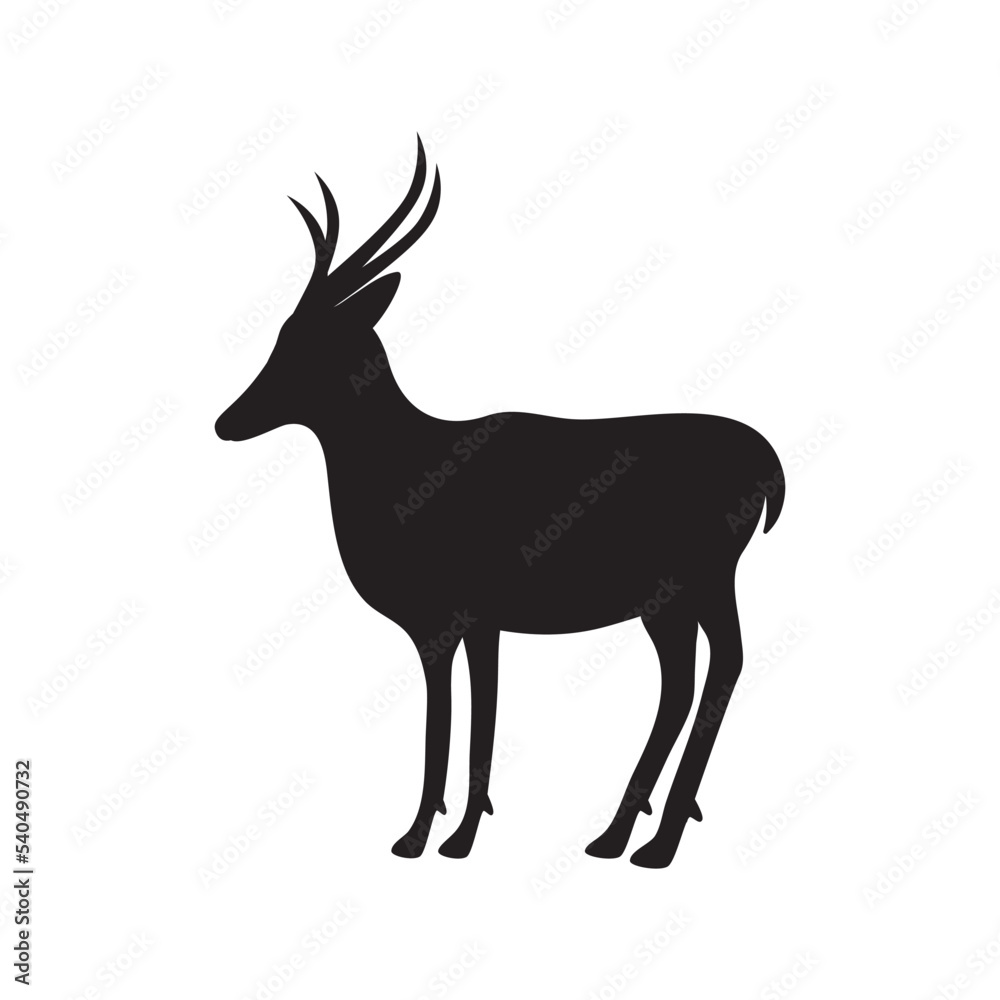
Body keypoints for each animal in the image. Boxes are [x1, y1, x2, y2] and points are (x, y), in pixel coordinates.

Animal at [215, 137, 785, 868]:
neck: (404, 466)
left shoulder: (452, 619)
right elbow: (471, 712)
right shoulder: (469, 624)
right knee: (690, 676)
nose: (227, 421)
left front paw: (429, 837)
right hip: (674, 598)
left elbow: (456, 716)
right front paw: (449, 834)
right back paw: (620, 834)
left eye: (304, 341)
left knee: (720, 666)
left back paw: (653, 843)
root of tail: (768, 464)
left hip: (697, 581)